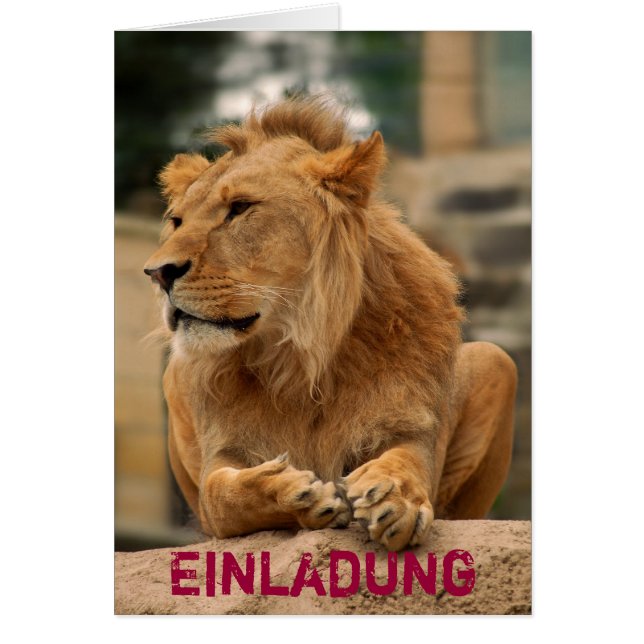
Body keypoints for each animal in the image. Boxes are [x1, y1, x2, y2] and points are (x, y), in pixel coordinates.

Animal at [143, 96, 517, 551]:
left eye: (240, 208)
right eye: (177, 221)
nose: (158, 273)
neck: (300, 359)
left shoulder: (413, 426)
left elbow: (409, 462)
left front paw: (393, 498)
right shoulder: (222, 454)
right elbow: (221, 495)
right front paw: (294, 493)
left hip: (496, 358)